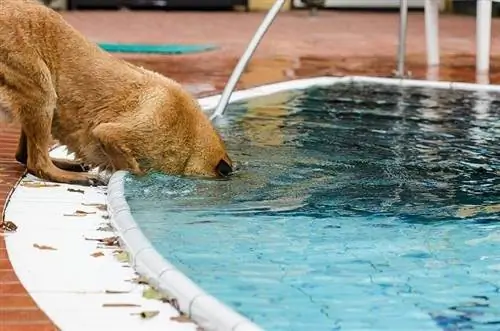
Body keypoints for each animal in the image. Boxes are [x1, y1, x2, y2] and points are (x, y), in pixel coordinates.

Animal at [0, 0, 233, 187]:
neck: (191, 139)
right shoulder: (110, 134)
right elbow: (133, 168)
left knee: (24, 156)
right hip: (43, 92)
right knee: (36, 162)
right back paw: (74, 176)